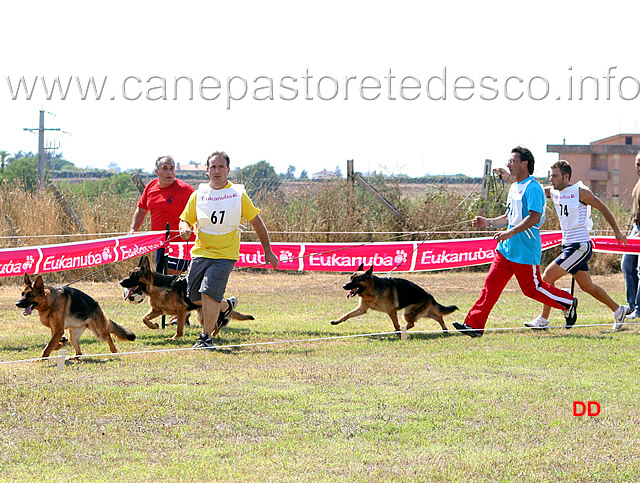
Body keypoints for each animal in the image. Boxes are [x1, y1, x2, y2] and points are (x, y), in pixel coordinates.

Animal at [119, 258, 254, 340]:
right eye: (129, 274)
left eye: (134, 275)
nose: (120, 282)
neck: (157, 288)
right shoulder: (157, 310)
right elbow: (144, 319)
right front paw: (154, 326)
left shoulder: (181, 312)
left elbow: (179, 328)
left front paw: (175, 338)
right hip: (202, 317)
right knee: (213, 325)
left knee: (217, 324)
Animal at [330, 266, 460, 334]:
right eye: (350, 278)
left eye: (356, 280)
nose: (344, 286)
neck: (372, 289)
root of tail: (429, 295)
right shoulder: (362, 309)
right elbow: (347, 315)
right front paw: (336, 321)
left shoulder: (391, 311)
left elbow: (396, 324)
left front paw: (398, 332)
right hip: (421, 312)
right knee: (438, 316)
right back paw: (444, 329)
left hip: (408, 313)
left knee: (412, 323)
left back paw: (403, 330)